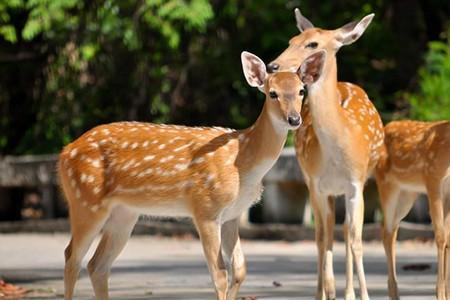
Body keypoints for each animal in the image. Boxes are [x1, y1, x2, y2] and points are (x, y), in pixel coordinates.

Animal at [58, 50, 326, 298]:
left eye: (301, 91)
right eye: (272, 93)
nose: (294, 119)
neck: (243, 164)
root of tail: (64, 152)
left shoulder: (232, 215)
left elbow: (239, 270)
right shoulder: (205, 208)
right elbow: (219, 275)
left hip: (124, 213)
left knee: (97, 265)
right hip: (86, 200)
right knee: (72, 256)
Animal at [266, 9, 384, 300]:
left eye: (313, 44)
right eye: (291, 39)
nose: (273, 65)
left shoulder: (356, 183)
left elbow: (356, 240)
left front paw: (361, 294)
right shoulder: (317, 184)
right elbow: (321, 238)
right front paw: (326, 290)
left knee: (343, 230)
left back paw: (349, 292)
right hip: (314, 184)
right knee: (325, 232)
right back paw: (326, 289)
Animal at [376, 120, 450, 300]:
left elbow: (448, 238)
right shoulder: (433, 181)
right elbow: (440, 237)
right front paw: (440, 294)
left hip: (408, 194)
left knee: (392, 230)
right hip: (387, 186)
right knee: (386, 233)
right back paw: (393, 292)